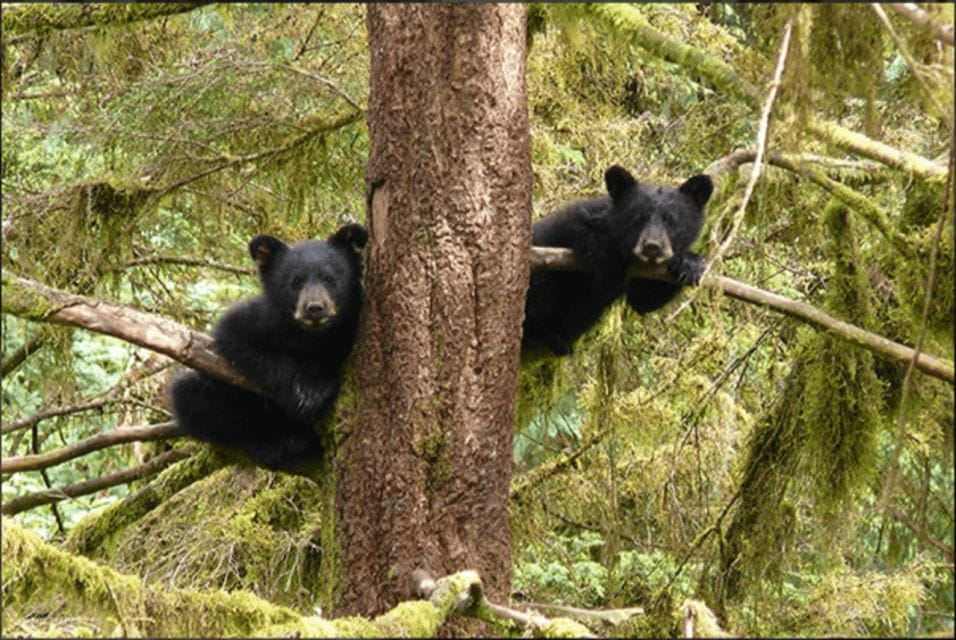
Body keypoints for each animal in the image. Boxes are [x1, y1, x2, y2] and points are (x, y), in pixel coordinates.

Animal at [170, 223, 368, 472]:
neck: (309, 334)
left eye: (330, 279)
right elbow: (234, 340)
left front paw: (313, 388)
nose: (314, 308)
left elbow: (335, 354)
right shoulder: (262, 321)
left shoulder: (351, 324)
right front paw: (297, 393)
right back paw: (278, 443)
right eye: (295, 282)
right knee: (191, 394)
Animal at [522, 165, 712, 357]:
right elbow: (584, 233)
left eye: (671, 221)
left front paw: (690, 264)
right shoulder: (571, 224)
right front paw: (612, 269)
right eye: (638, 219)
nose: (652, 247)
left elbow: (643, 299)